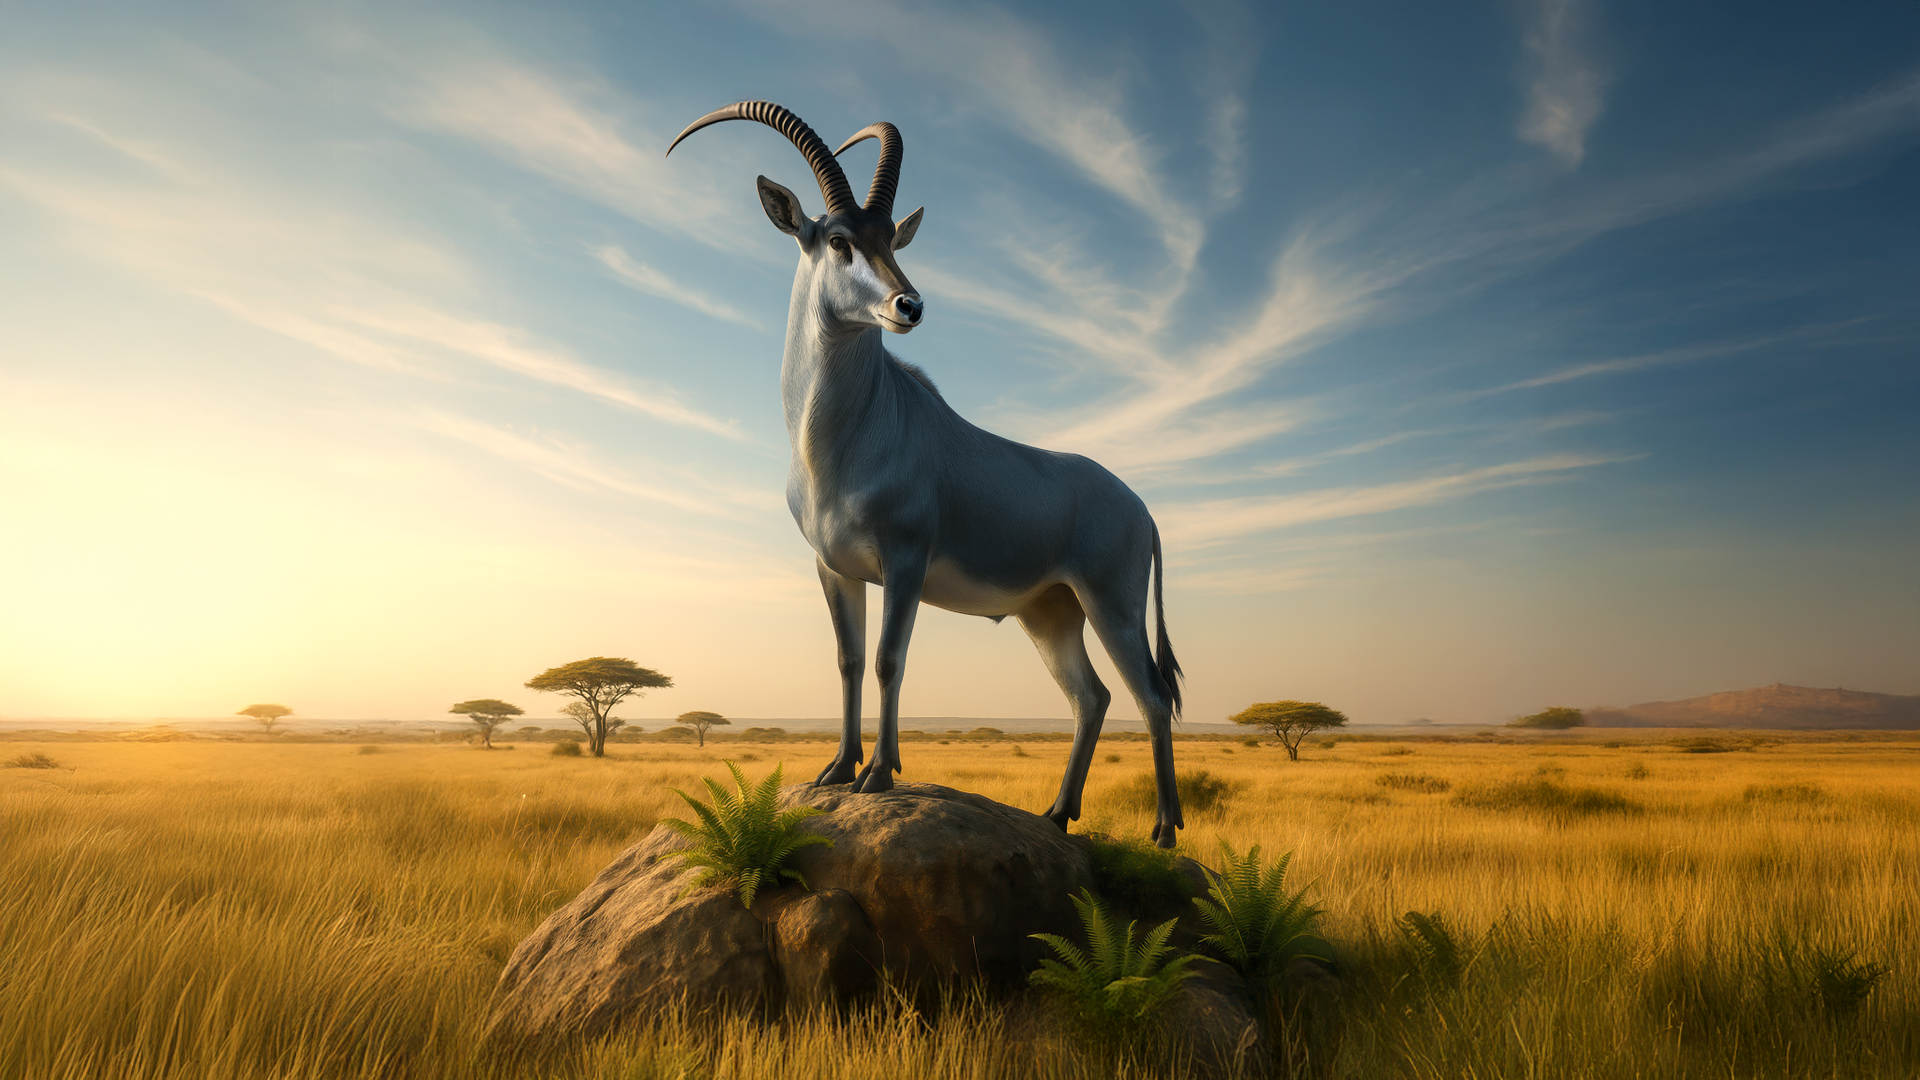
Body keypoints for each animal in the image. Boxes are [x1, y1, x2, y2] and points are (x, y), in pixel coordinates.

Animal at [667, 102, 1186, 846]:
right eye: (838, 240)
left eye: (892, 238)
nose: (908, 306)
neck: (844, 438)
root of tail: (1141, 508)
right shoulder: (835, 568)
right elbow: (850, 660)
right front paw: (838, 769)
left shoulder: (905, 564)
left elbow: (891, 658)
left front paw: (880, 775)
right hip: (1050, 613)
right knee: (1093, 696)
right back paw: (1057, 815)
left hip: (1110, 604)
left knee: (1149, 695)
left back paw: (1166, 832)